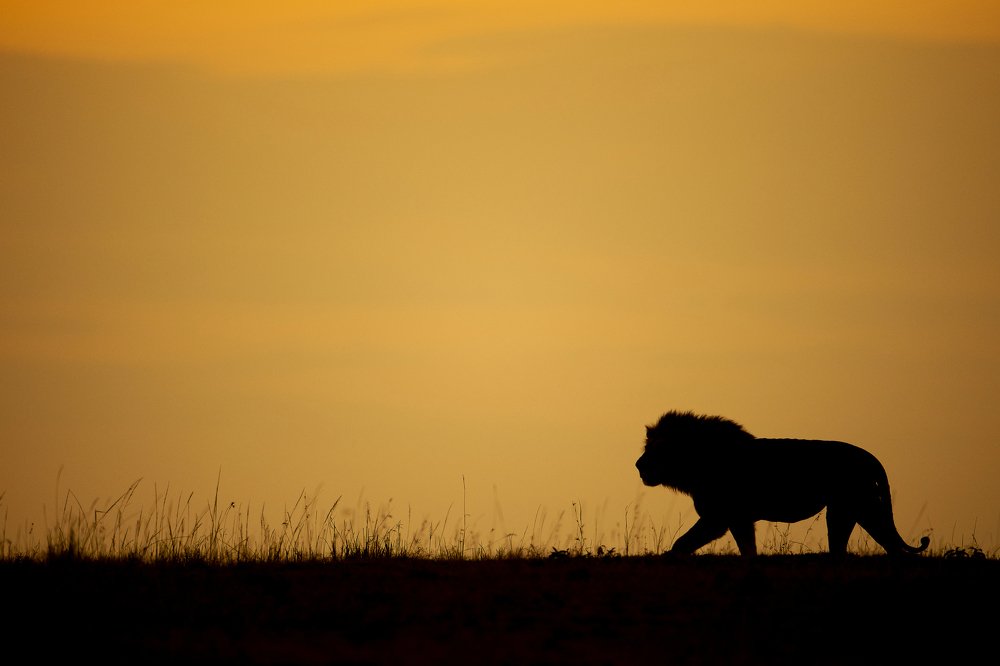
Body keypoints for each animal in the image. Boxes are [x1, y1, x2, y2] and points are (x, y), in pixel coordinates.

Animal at [635, 410, 930, 556]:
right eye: (647, 447)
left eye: (656, 450)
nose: (638, 465)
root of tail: (868, 456)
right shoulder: (738, 519)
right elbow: (748, 550)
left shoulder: (719, 518)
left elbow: (682, 543)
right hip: (856, 509)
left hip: (850, 507)